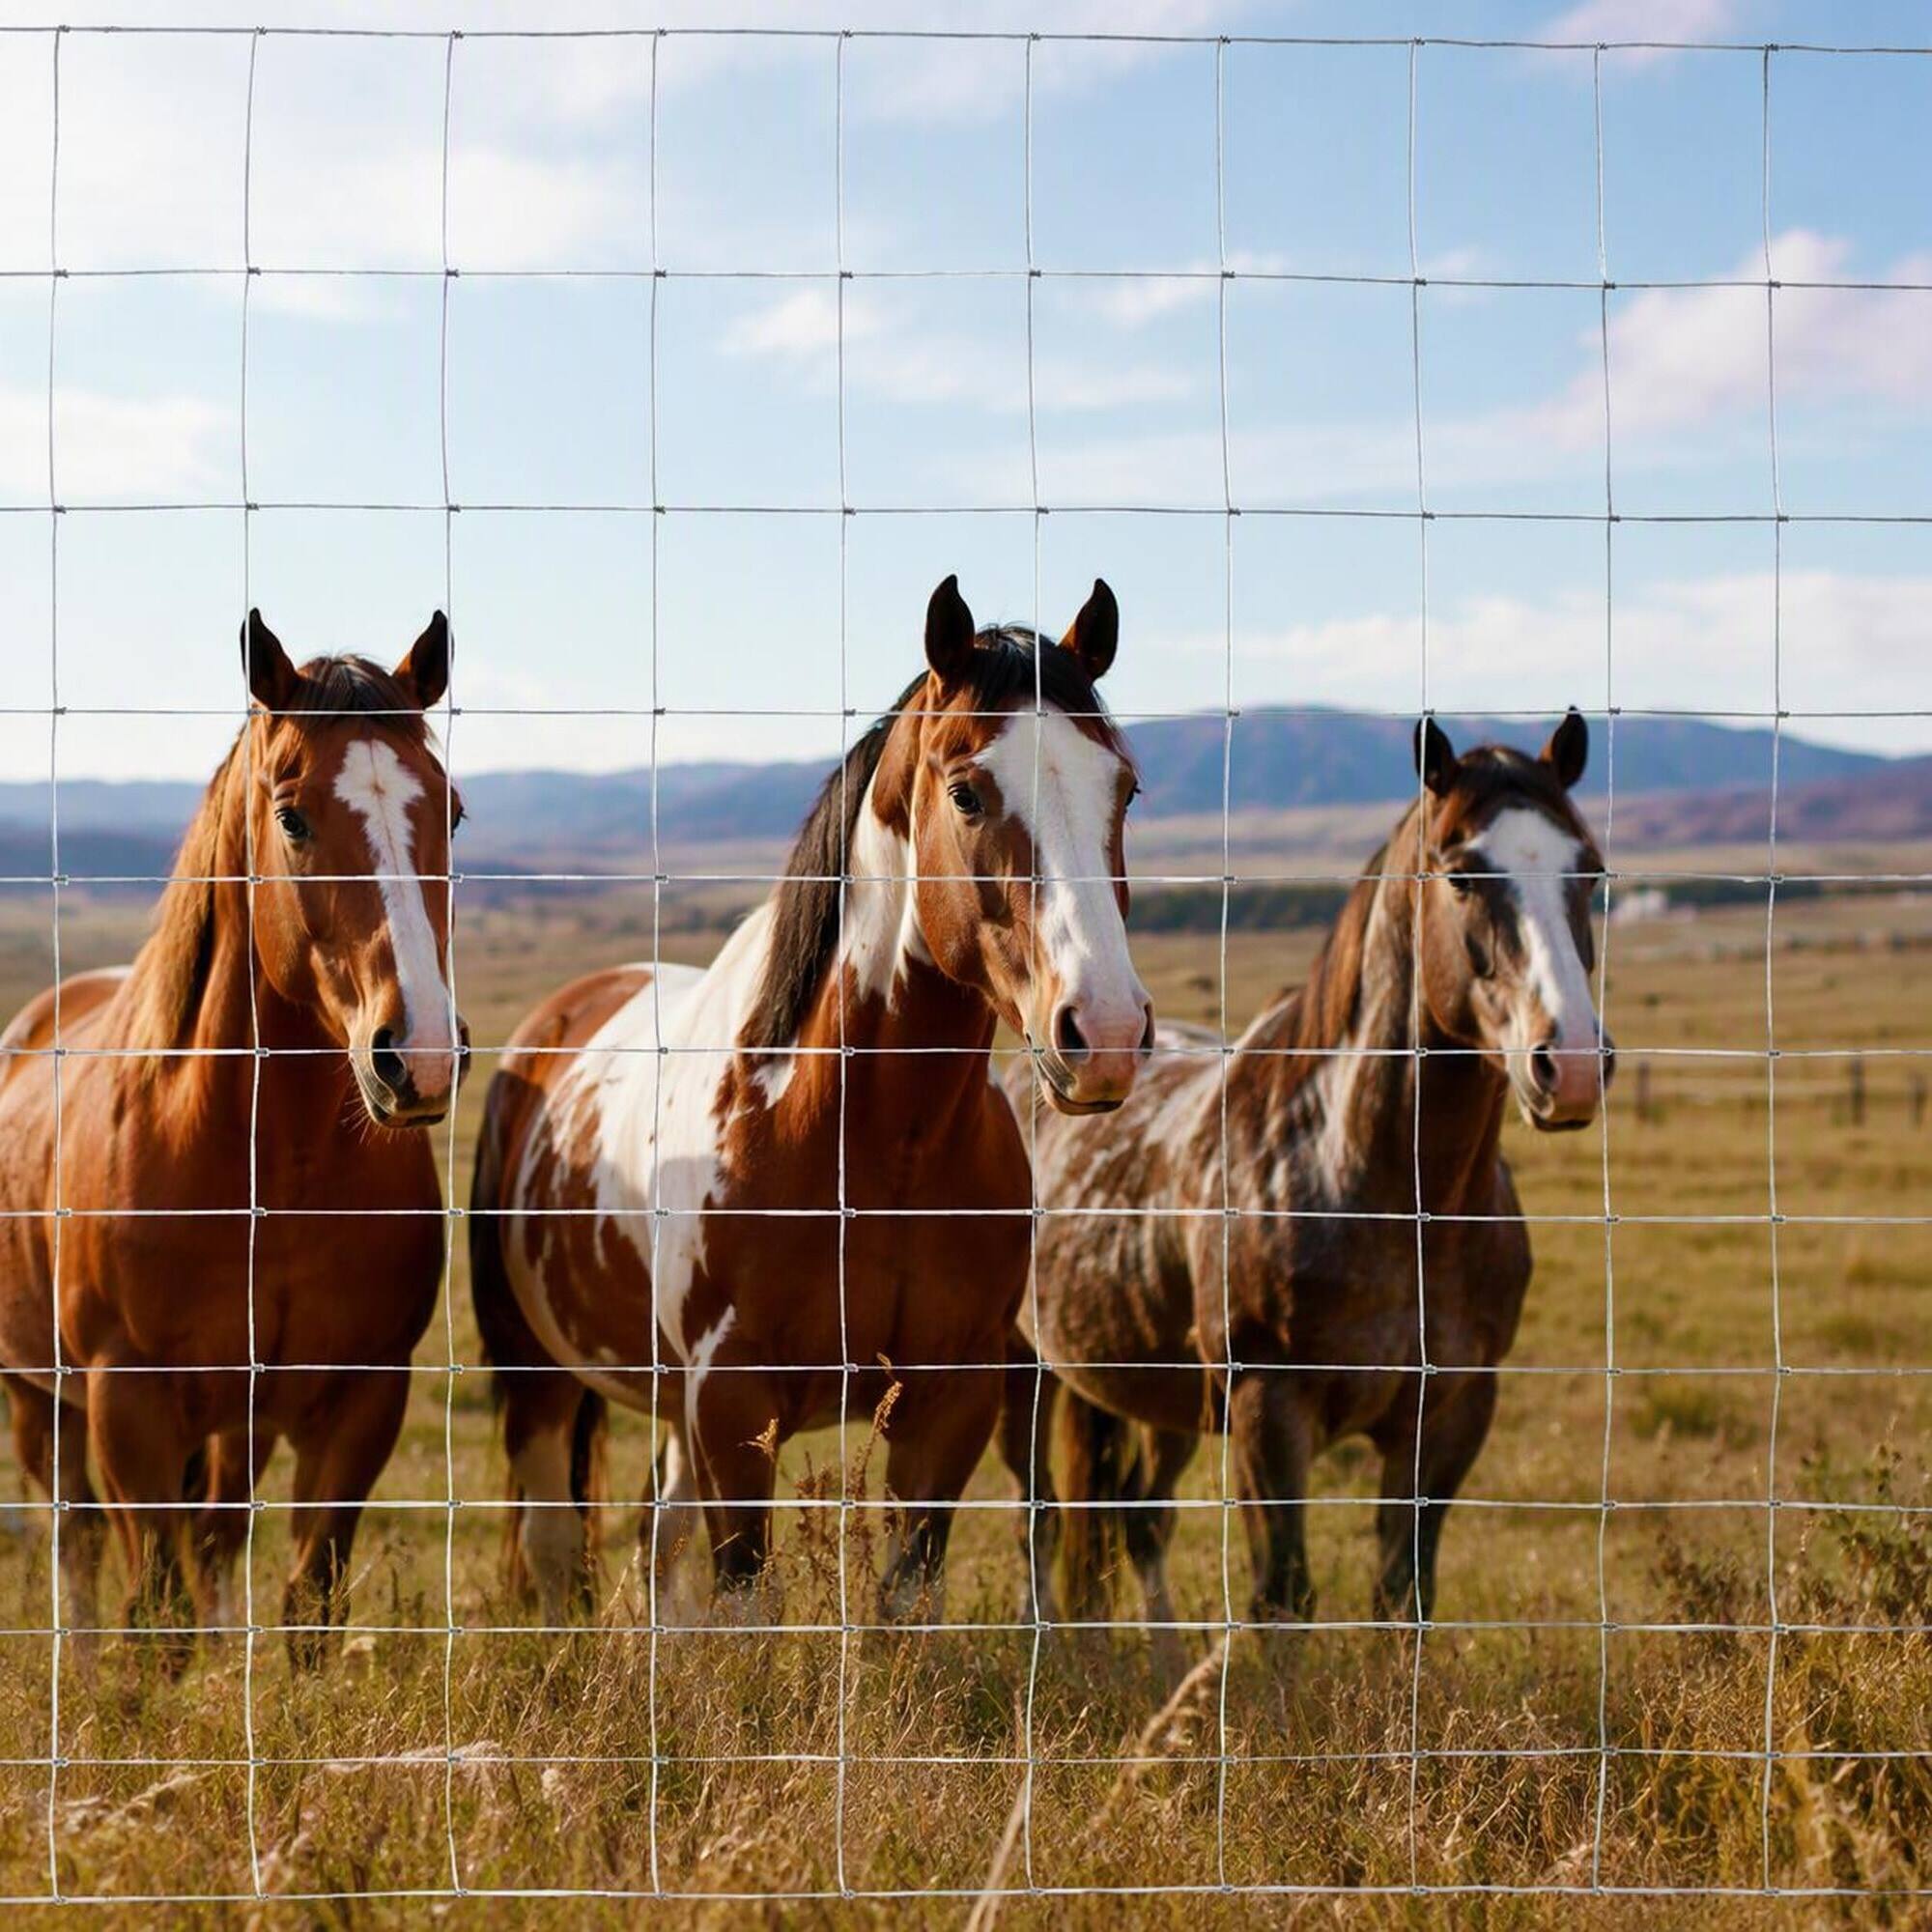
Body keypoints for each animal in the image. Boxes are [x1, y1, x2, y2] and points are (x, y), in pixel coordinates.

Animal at [0, 611, 463, 1662]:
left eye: (452, 813)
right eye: (292, 817)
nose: (418, 1056)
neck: (265, 1173)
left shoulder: (360, 1401)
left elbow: (307, 1607)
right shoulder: (127, 1407)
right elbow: (155, 1613)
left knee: (212, 1538)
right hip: (41, 1400)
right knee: (77, 1543)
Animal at [469, 575, 1154, 1623]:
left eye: (1122, 787)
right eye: (967, 790)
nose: (1106, 1032)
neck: (866, 1145)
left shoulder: (950, 1403)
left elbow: (904, 1600)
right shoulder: (731, 1403)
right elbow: (743, 1602)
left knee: (657, 1546)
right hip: (536, 1378)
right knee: (553, 1546)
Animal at [998, 713, 1613, 1651]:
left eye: (1591, 872)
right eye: (1464, 874)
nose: (1572, 1062)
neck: (1384, 1191)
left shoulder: (1450, 1414)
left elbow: (1404, 1596)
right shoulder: (1268, 1411)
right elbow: (1282, 1597)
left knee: (1133, 1516)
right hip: (1020, 1373)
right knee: (1041, 1513)